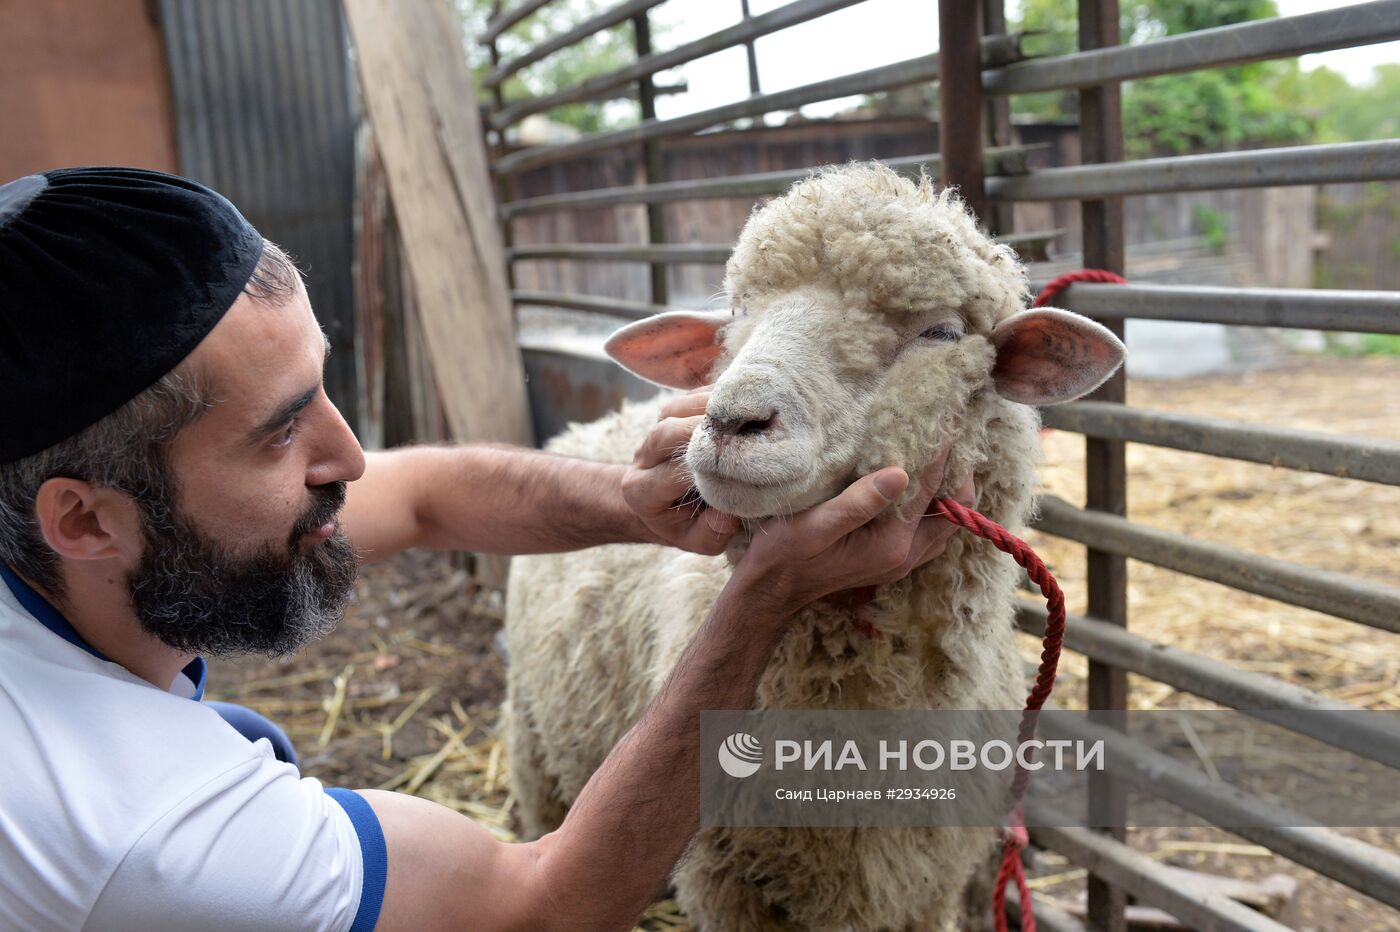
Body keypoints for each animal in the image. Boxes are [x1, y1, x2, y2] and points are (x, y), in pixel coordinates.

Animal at [506, 163, 1125, 929]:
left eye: (942, 332)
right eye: (736, 314)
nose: (732, 420)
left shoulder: (926, 884)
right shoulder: (729, 884)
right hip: (534, 747)